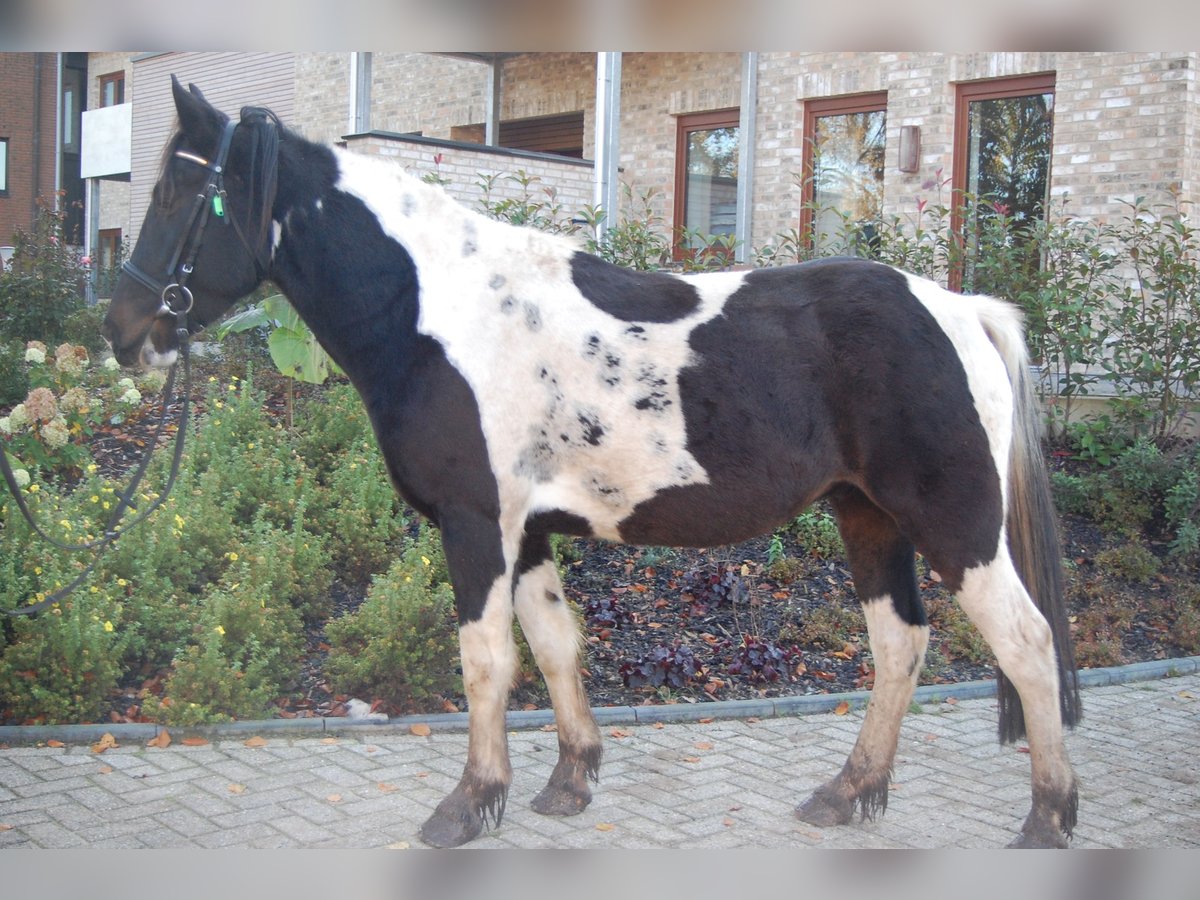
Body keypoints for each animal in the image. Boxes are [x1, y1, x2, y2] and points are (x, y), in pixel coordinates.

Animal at [100, 79, 1080, 854]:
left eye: (180, 186)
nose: (122, 332)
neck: (440, 314)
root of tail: (961, 307)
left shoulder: (475, 524)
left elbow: (486, 661)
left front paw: (468, 804)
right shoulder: (528, 530)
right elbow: (554, 646)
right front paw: (567, 782)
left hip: (958, 526)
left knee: (1026, 645)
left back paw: (1047, 818)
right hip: (866, 515)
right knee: (899, 644)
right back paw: (848, 793)